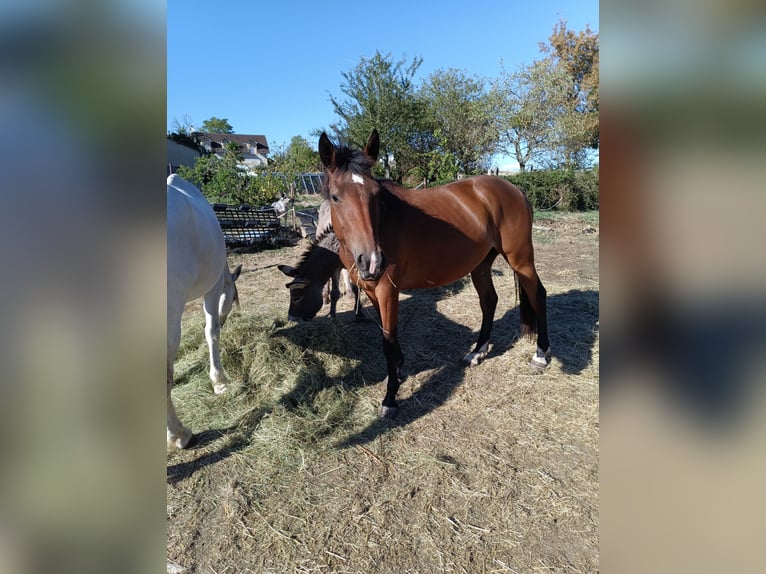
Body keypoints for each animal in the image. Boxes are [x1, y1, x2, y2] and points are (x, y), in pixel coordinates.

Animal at [319, 130, 550, 418]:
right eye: (336, 197)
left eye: (376, 196)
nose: (372, 261)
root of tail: (514, 188)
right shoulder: (371, 291)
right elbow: (387, 336)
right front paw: (397, 371)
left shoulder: (387, 290)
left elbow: (388, 341)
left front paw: (390, 398)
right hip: (481, 265)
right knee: (489, 301)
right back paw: (477, 352)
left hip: (521, 259)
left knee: (538, 294)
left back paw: (540, 354)